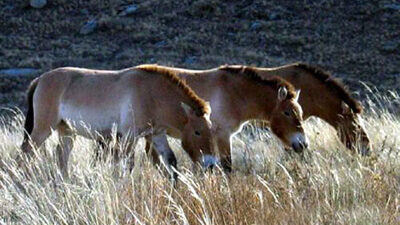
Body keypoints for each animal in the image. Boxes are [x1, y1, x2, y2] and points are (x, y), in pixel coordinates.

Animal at [20, 65, 217, 178]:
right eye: (197, 131)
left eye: (211, 130)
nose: (211, 165)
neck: (152, 93)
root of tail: (40, 79)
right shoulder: (130, 136)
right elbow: (127, 165)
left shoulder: (156, 135)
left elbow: (171, 161)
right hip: (43, 129)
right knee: (26, 152)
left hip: (66, 131)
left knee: (61, 156)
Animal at [114, 64, 308, 171]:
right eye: (287, 112)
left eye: (300, 113)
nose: (303, 144)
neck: (235, 93)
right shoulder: (222, 135)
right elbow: (227, 165)